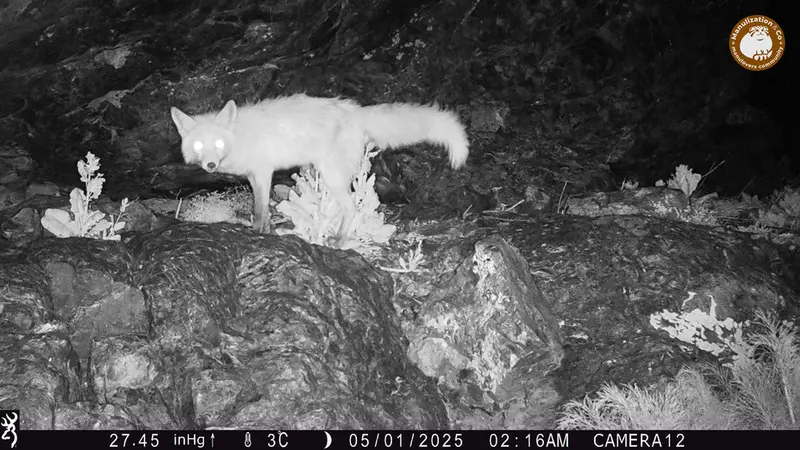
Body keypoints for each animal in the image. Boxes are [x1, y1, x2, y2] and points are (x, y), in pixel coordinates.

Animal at [169, 93, 469, 247]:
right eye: (199, 145)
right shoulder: (256, 176)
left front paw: (256, 232)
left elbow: (260, 209)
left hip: (332, 177)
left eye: (218, 144)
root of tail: (355, 110)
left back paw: (339, 240)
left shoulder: (263, 172)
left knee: (352, 208)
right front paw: (265, 230)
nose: (210, 165)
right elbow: (263, 210)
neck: (240, 136)